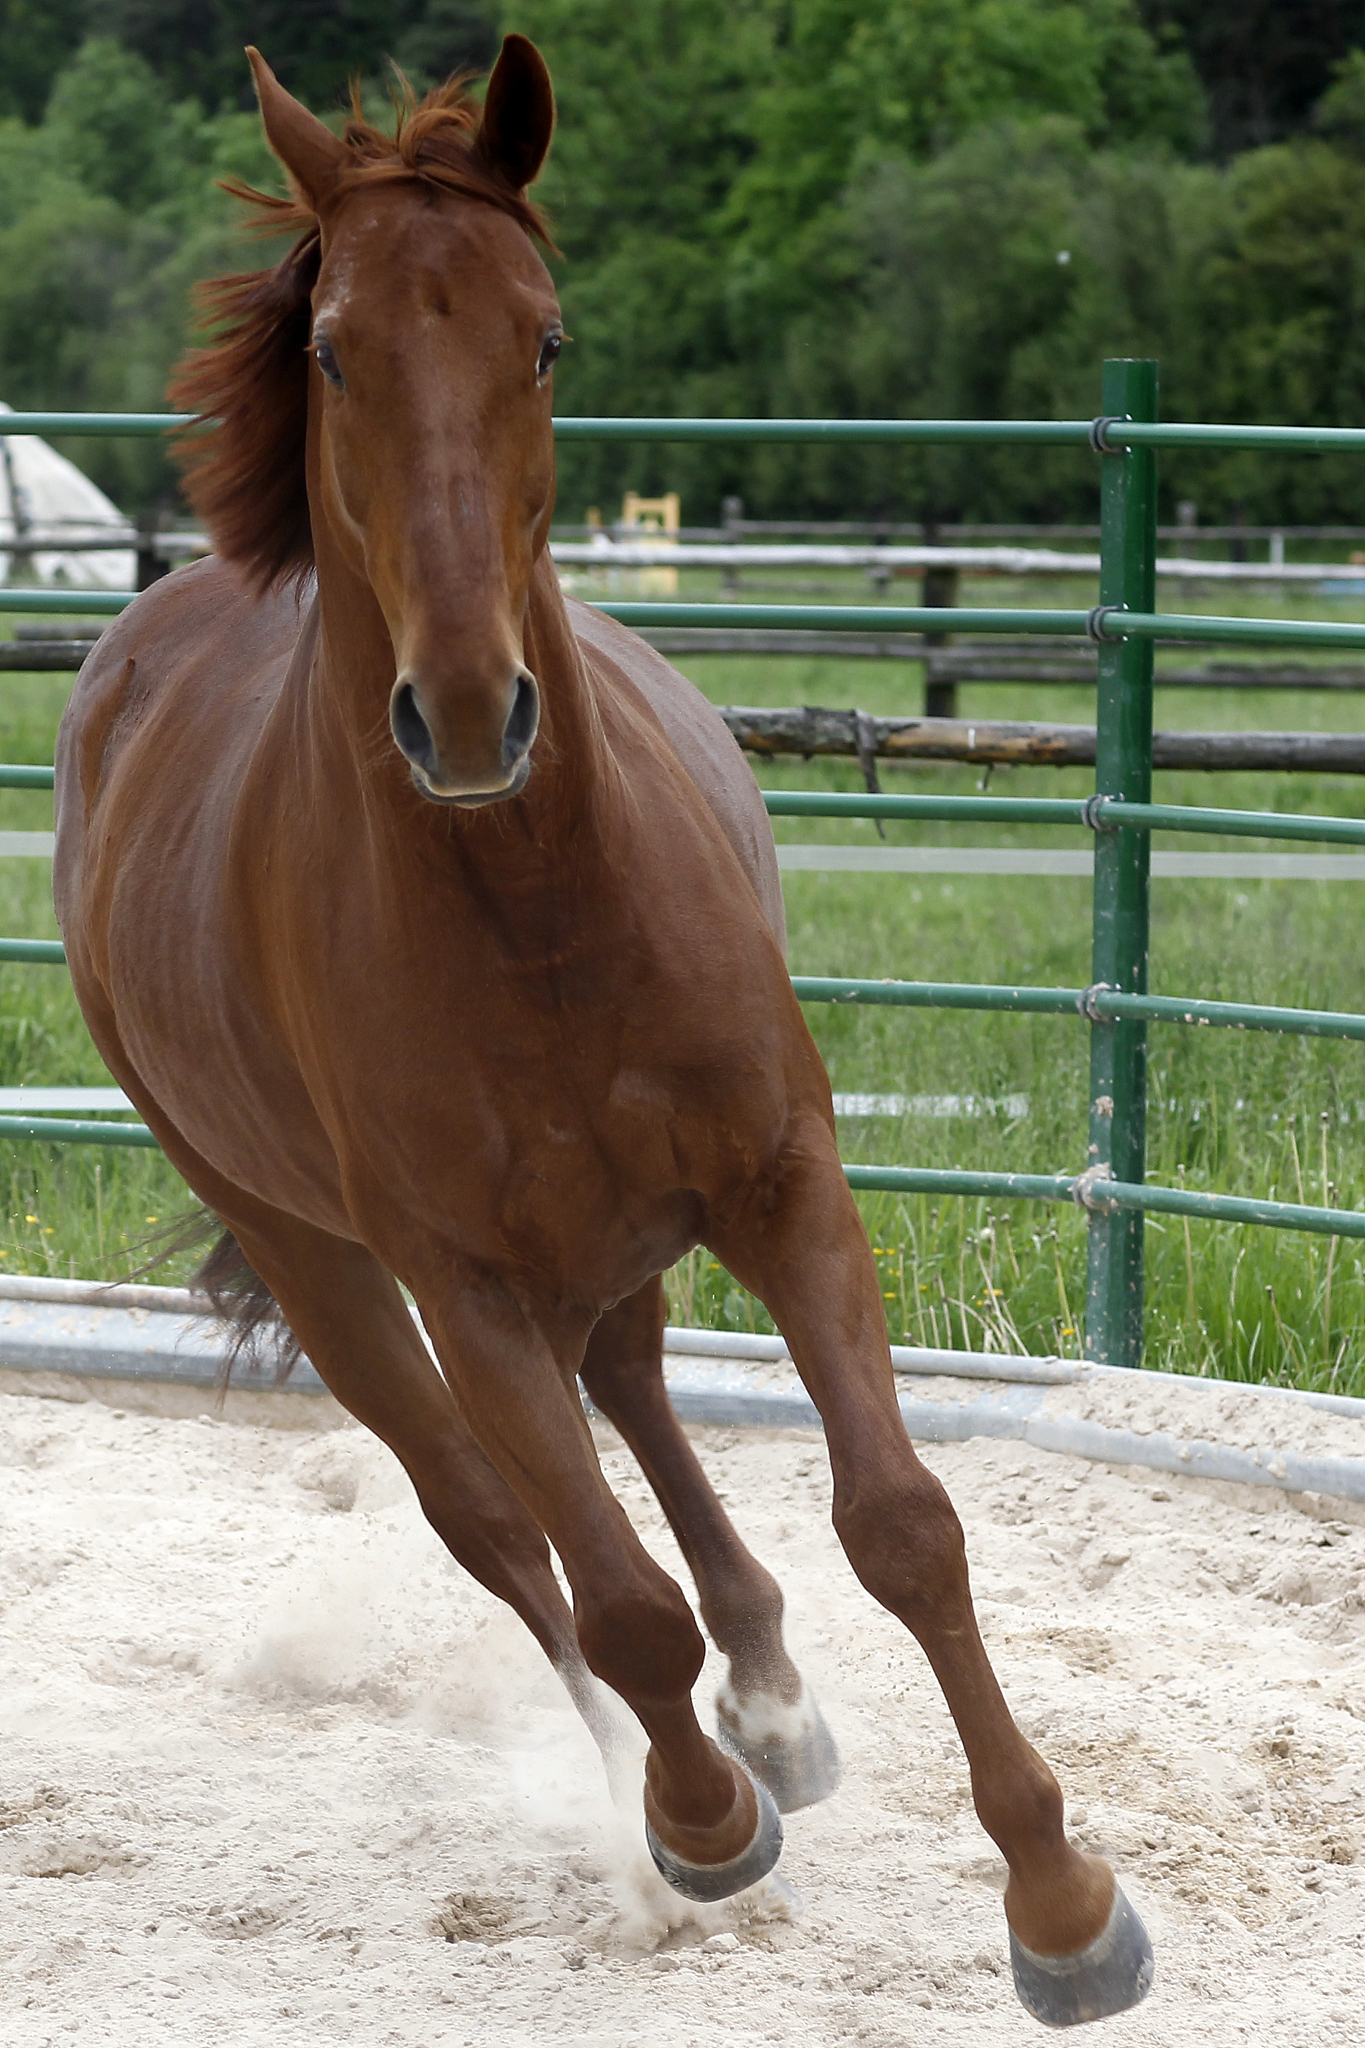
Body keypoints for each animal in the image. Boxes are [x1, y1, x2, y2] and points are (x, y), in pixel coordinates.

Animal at [52, 37, 1151, 2026]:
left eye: (545, 338)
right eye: (334, 348)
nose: (469, 707)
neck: (537, 902)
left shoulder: (788, 1183)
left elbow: (903, 1521)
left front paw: (1058, 1902)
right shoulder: (464, 1284)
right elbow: (608, 1588)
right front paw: (698, 1826)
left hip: (623, 1223)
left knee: (632, 1374)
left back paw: (773, 1702)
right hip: (323, 1263)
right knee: (500, 1526)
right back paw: (674, 1795)